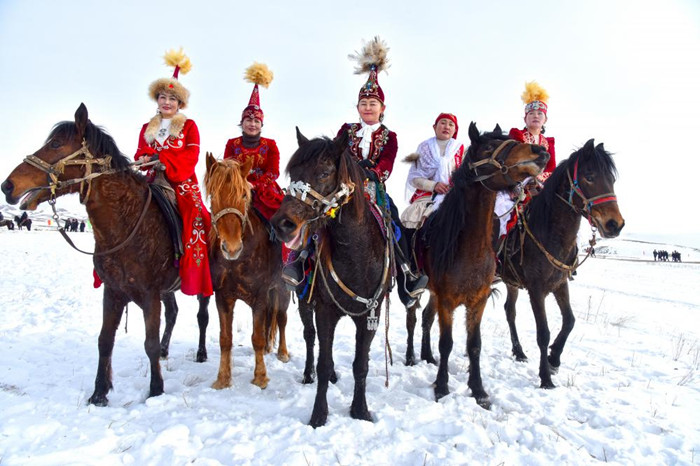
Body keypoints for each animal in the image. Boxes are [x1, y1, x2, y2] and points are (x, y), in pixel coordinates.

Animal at [0, 104, 208, 404]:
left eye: (55, 144)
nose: (7, 186)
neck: (126, 225)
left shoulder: (149, 294)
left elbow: (149, 342)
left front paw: (156, 390)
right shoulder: (113, 291)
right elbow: (105, 340)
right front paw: (99, 393)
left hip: (203, 283)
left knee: (202, 317)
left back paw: (201, 353)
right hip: (168, 289)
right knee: (173, 312)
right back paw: (167, 350)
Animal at [202, 154, 290, 390]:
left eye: (243, 194)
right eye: (213, 195)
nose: (231, 248)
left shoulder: (259, 297)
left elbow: (257, 338)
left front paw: (260, 377)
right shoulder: (223, 297)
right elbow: (225, 338)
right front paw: (223, 379)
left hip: (283, 289)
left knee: (281, 318)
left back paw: (282, 352)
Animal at [268, 129, 392, 428]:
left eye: (324, 172)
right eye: (293, 173)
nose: (282, 224)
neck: (355, 255)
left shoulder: (370, 315)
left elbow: (361, 365)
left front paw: (360, 410)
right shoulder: (324, 310)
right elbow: (322, 361)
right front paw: (318, 414)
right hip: (305, 302)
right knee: (310, 336)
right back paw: (307, 374)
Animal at [408, 122, 548, 406]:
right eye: (489, 146)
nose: (540, 152)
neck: (466, 247)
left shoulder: (477, 300)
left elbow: (474, 345)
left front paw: (479, 390)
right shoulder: (448, 300)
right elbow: (447, 343)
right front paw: (441, 387)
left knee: (426, 318)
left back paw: (427, 356)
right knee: (413, 317)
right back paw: (410, 357)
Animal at [498, 140, 624, 388]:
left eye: (612, 180)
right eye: (589, 176)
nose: (615, 224)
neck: (549, 232)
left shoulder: (559, 283)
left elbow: (569, 321)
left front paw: (554, 358)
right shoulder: (536, 289)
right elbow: (543, 333)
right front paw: (545, 377)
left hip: (510, 281)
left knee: (510, 311)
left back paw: (519, 352)